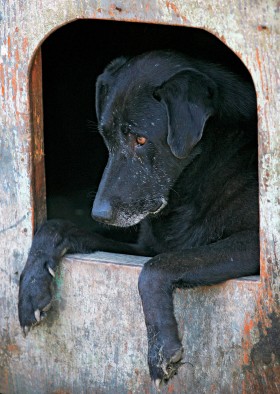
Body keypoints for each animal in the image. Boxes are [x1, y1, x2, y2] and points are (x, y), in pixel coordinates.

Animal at [18, 50, 258, 386]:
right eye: (105, 137)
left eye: (141, 140)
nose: (99, 213)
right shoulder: (144, 246)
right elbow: (55, 226)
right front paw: (31, 286)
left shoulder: (254, 242)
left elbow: (155, 268)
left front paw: (160, 348)